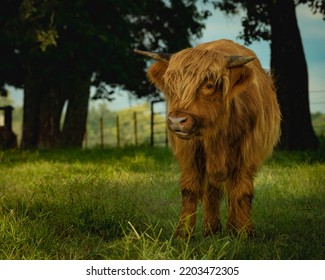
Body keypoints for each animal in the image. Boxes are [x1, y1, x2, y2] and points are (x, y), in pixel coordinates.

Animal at [134, 38, 280, 236]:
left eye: (209, 85)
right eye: (172, 85)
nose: (177, 121)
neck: (217, 132)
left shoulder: (248, 153)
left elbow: (242, 191)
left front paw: (245, 233)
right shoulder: (189, 152)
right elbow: (190, 189)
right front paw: (183, 234)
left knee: (230, 189)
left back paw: (231, 228)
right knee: (212, 190)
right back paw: (212, 230)